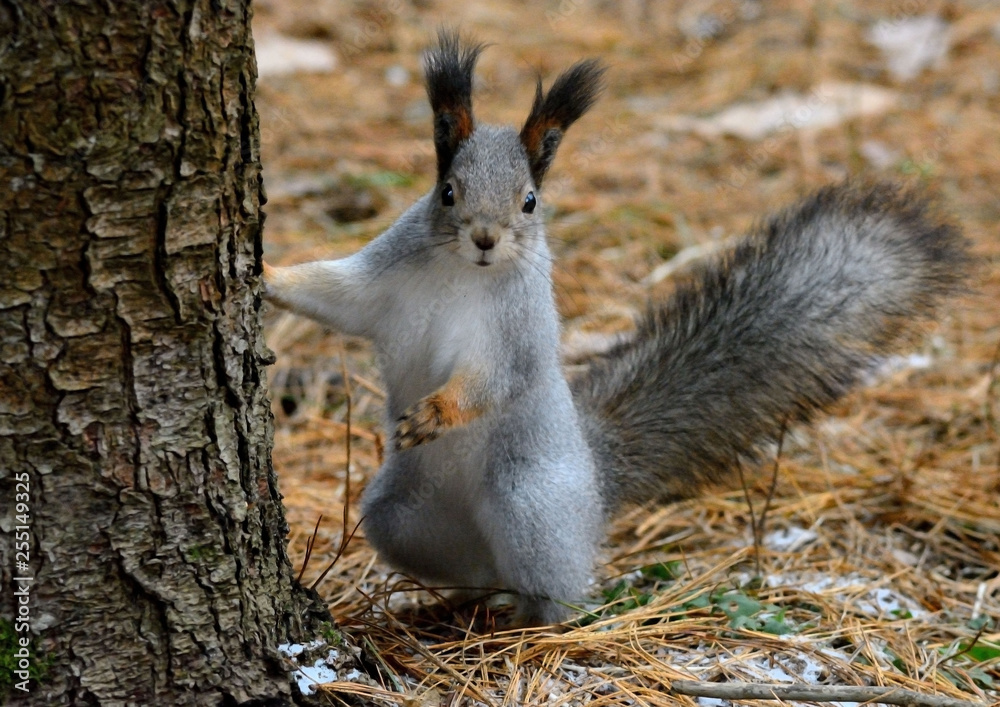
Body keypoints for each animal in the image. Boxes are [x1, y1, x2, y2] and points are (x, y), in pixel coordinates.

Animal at [263, 32, 970, 625]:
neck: (460, 272)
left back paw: (532, 620)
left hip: (529, 500)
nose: (486, 239)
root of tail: (595, 481)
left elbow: (499, 377)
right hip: (402, 516)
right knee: (470, 565)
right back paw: (458, 602)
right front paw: (266, 275)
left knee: (558, 588)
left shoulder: (521, 328)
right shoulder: (386, 281)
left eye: (530, 201)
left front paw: (437, 411)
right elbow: (337, 295)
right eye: (447, 192)